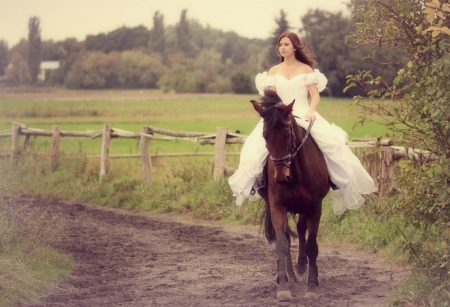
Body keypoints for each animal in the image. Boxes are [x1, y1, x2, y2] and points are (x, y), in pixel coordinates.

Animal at [250, 90, 330, 302]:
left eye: (287, 134)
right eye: (264, 136)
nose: (280, 178)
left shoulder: (315, 207)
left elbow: (311, 245)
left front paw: (312, 287)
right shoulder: (278, 206)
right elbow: (282, 244)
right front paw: (283, 288)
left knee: (302, 230)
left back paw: (303, 267)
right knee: (288, 234)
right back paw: (290, 277)